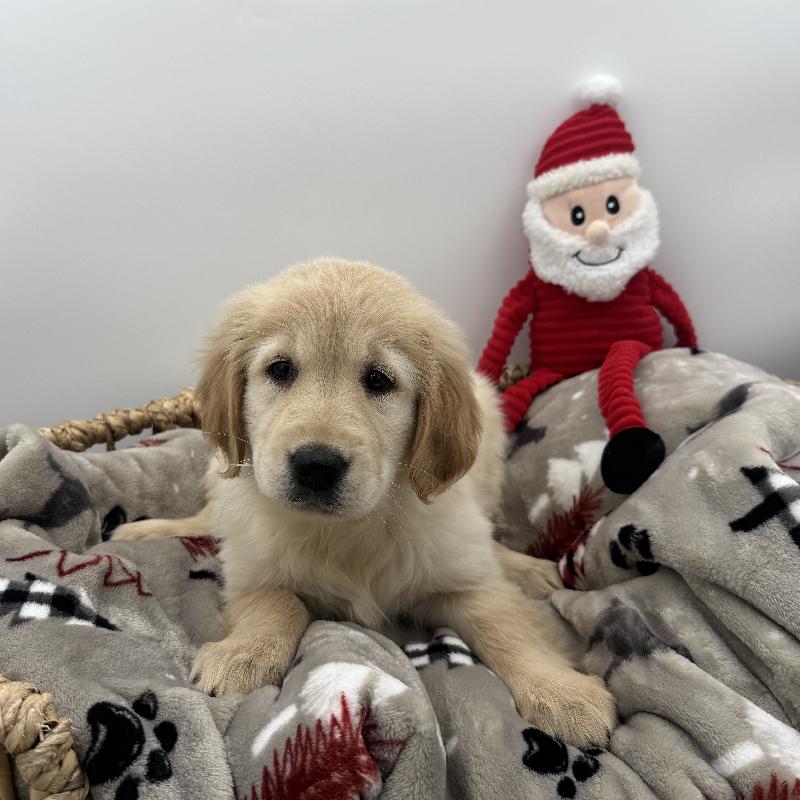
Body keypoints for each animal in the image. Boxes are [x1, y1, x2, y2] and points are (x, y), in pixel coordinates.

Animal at [114, 258, 615, 747]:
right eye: (280, 369)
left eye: (378, 380)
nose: (316, 465)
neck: (350, 528)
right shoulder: (252, 569)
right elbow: (277, 601)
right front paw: (243, 656)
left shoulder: (465, 576)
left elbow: (506, 624)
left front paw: (564, 695)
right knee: (208, 516)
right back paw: (145, 530)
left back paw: (528, 568)